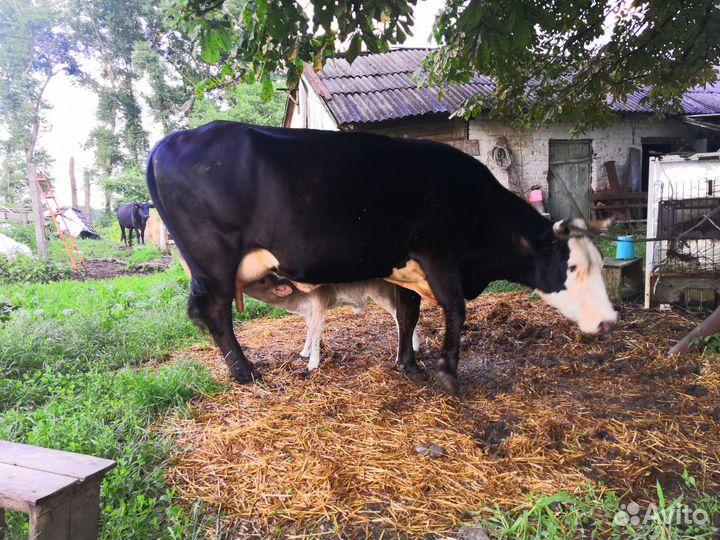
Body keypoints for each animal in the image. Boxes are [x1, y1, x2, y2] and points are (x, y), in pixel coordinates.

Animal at [244, 274, 421, 370]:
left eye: (261, 280)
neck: (298, 300)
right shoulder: (310, 312)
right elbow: (309, 331)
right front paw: (304, 352)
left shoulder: (320, 304)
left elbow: (316, 332)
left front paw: (313, 363)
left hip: (382, 295)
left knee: (401, 317)